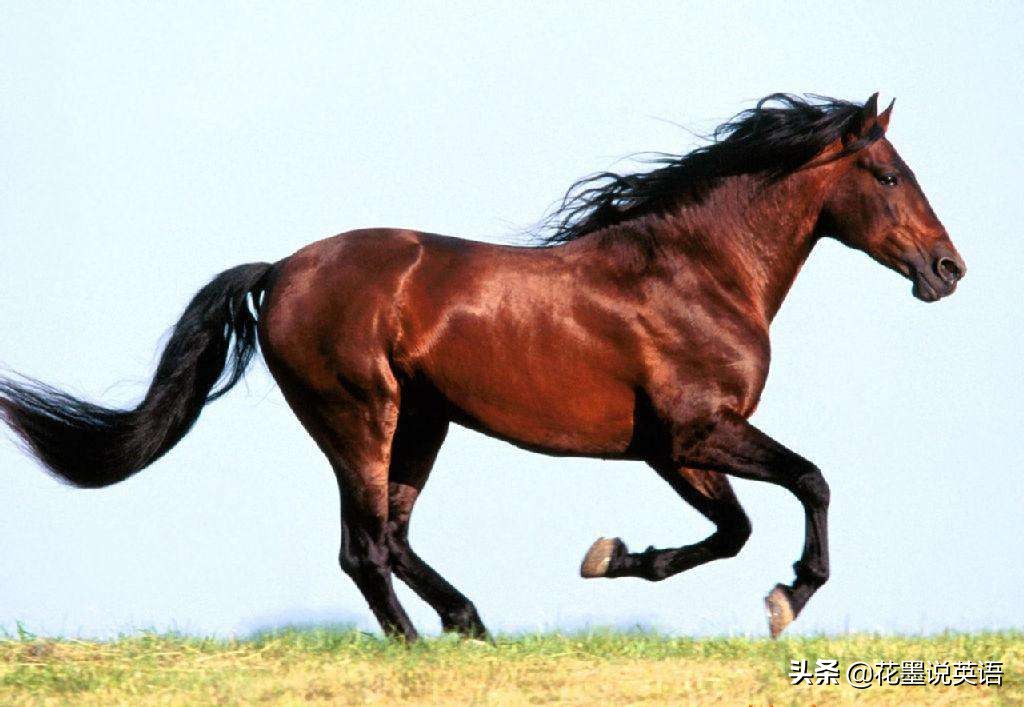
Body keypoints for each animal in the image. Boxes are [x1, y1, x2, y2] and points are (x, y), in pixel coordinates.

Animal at [0, 93, 965, 640]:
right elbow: (808, 482)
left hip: (422, 422)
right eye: (888, 173)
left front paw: (613, 557)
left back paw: (467, 623)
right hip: (360, 416)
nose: (948, 268)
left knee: (390, 536)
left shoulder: (671, 449)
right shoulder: (699, 430)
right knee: (363, 546)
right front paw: (788, 598)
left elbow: (733, 529)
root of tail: (279, 272)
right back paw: (428, 642)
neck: (696, 271)